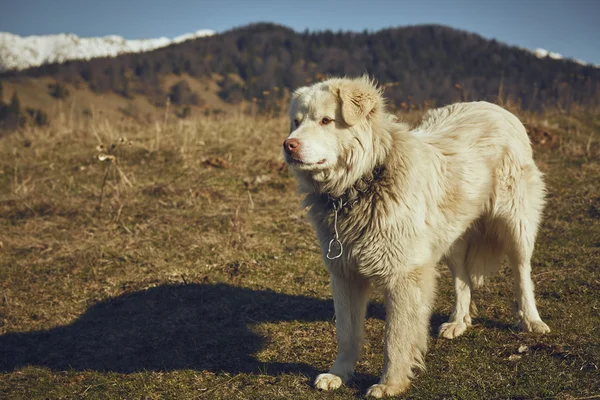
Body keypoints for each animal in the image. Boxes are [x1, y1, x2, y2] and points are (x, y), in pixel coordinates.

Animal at [284, 76, 552, 396]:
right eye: (296, 122)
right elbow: (347, 333)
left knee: (523, 274)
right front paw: (339, 374)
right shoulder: (345, 275)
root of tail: (495, 107)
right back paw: (458, 322)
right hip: (451, 238)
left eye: (326, 120)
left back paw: (532, 320)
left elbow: (396, 338)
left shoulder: (404, 276)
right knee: (462, 279)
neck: (365, 182)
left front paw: (390, 384)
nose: (288, 145)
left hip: (515, 225)